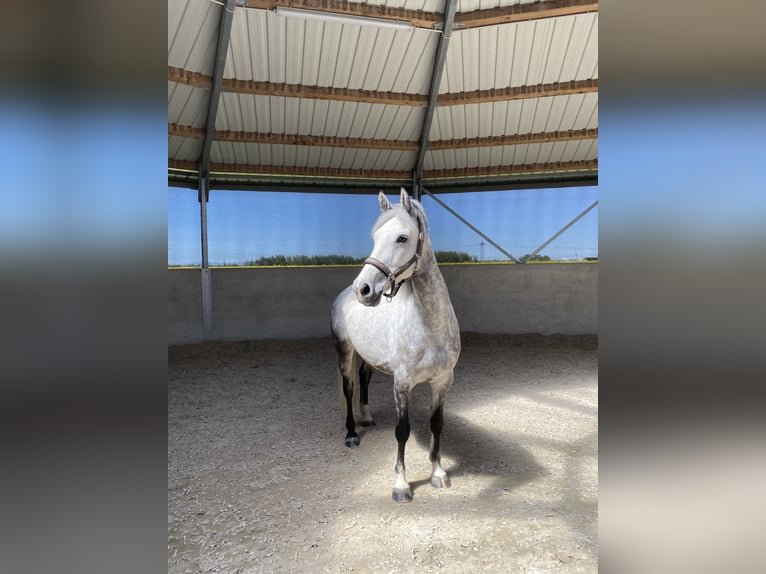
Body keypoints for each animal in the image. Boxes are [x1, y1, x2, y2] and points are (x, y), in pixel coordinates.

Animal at [330, 188, 461, 503]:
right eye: (375, 237)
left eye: (402, 237)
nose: (363, 289)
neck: (430, 325)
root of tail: (344, 295)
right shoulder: (402, 384)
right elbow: (402, 430)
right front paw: (401, 486)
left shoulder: (443, 381)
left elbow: (437, 423)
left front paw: (438, 474)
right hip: (345, 351)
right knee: (350, 387)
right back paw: (352, 433)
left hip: (368, 355)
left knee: (364, 378)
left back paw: (367, 417)